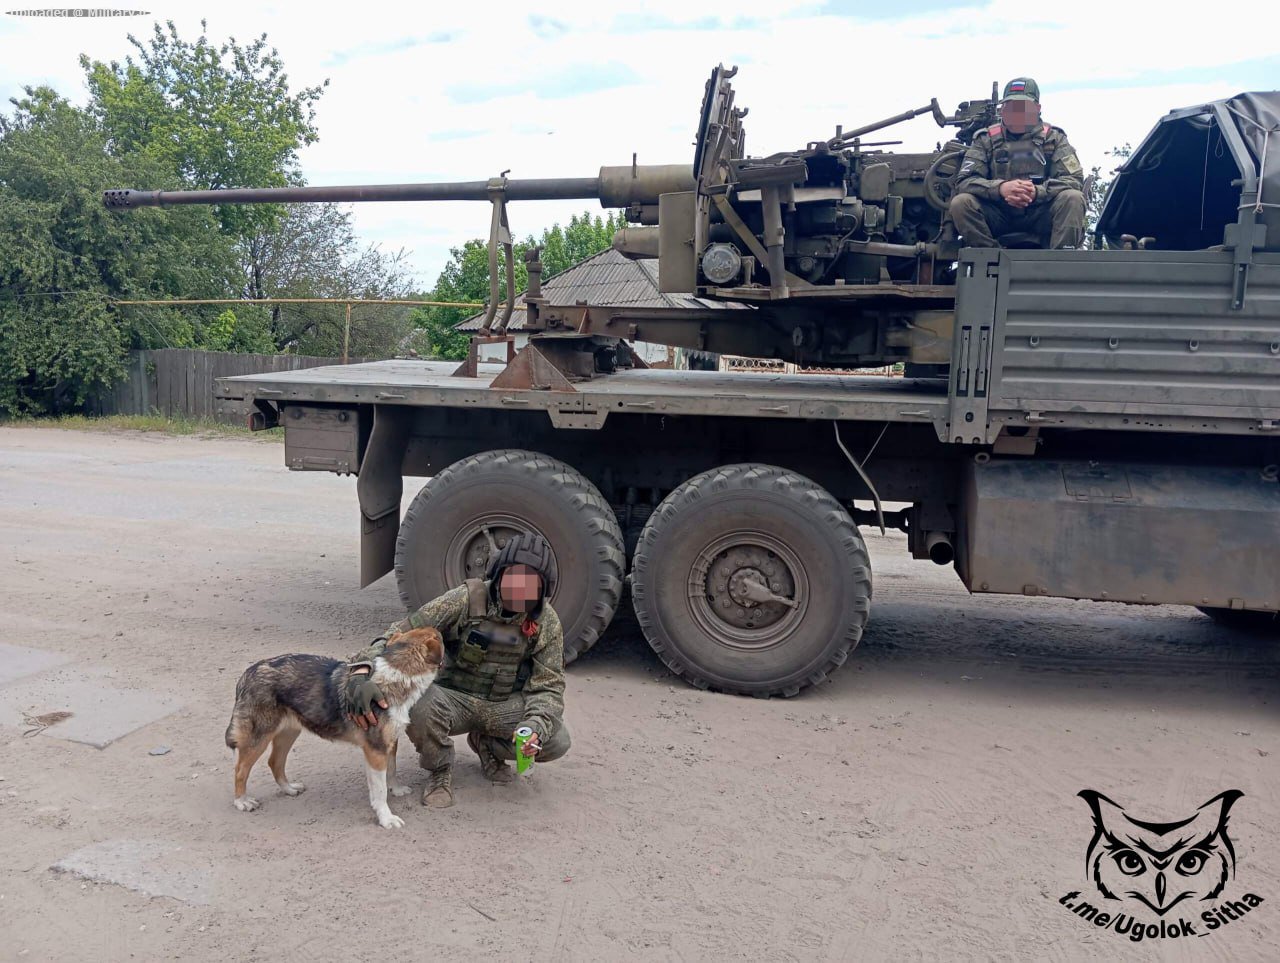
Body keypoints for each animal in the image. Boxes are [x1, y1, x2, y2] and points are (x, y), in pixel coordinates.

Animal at [220, 627, 440, 824]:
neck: (396, 676)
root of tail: (250, 671)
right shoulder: (375, 751)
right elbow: (379, 791)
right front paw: (386, 818)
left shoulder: (389, 743)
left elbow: (391, 771)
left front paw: (396, 789)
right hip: (259, 738)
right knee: (240, 769)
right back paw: (242, 801)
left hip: (289, 732)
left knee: (275, 762)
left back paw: (289, 789)